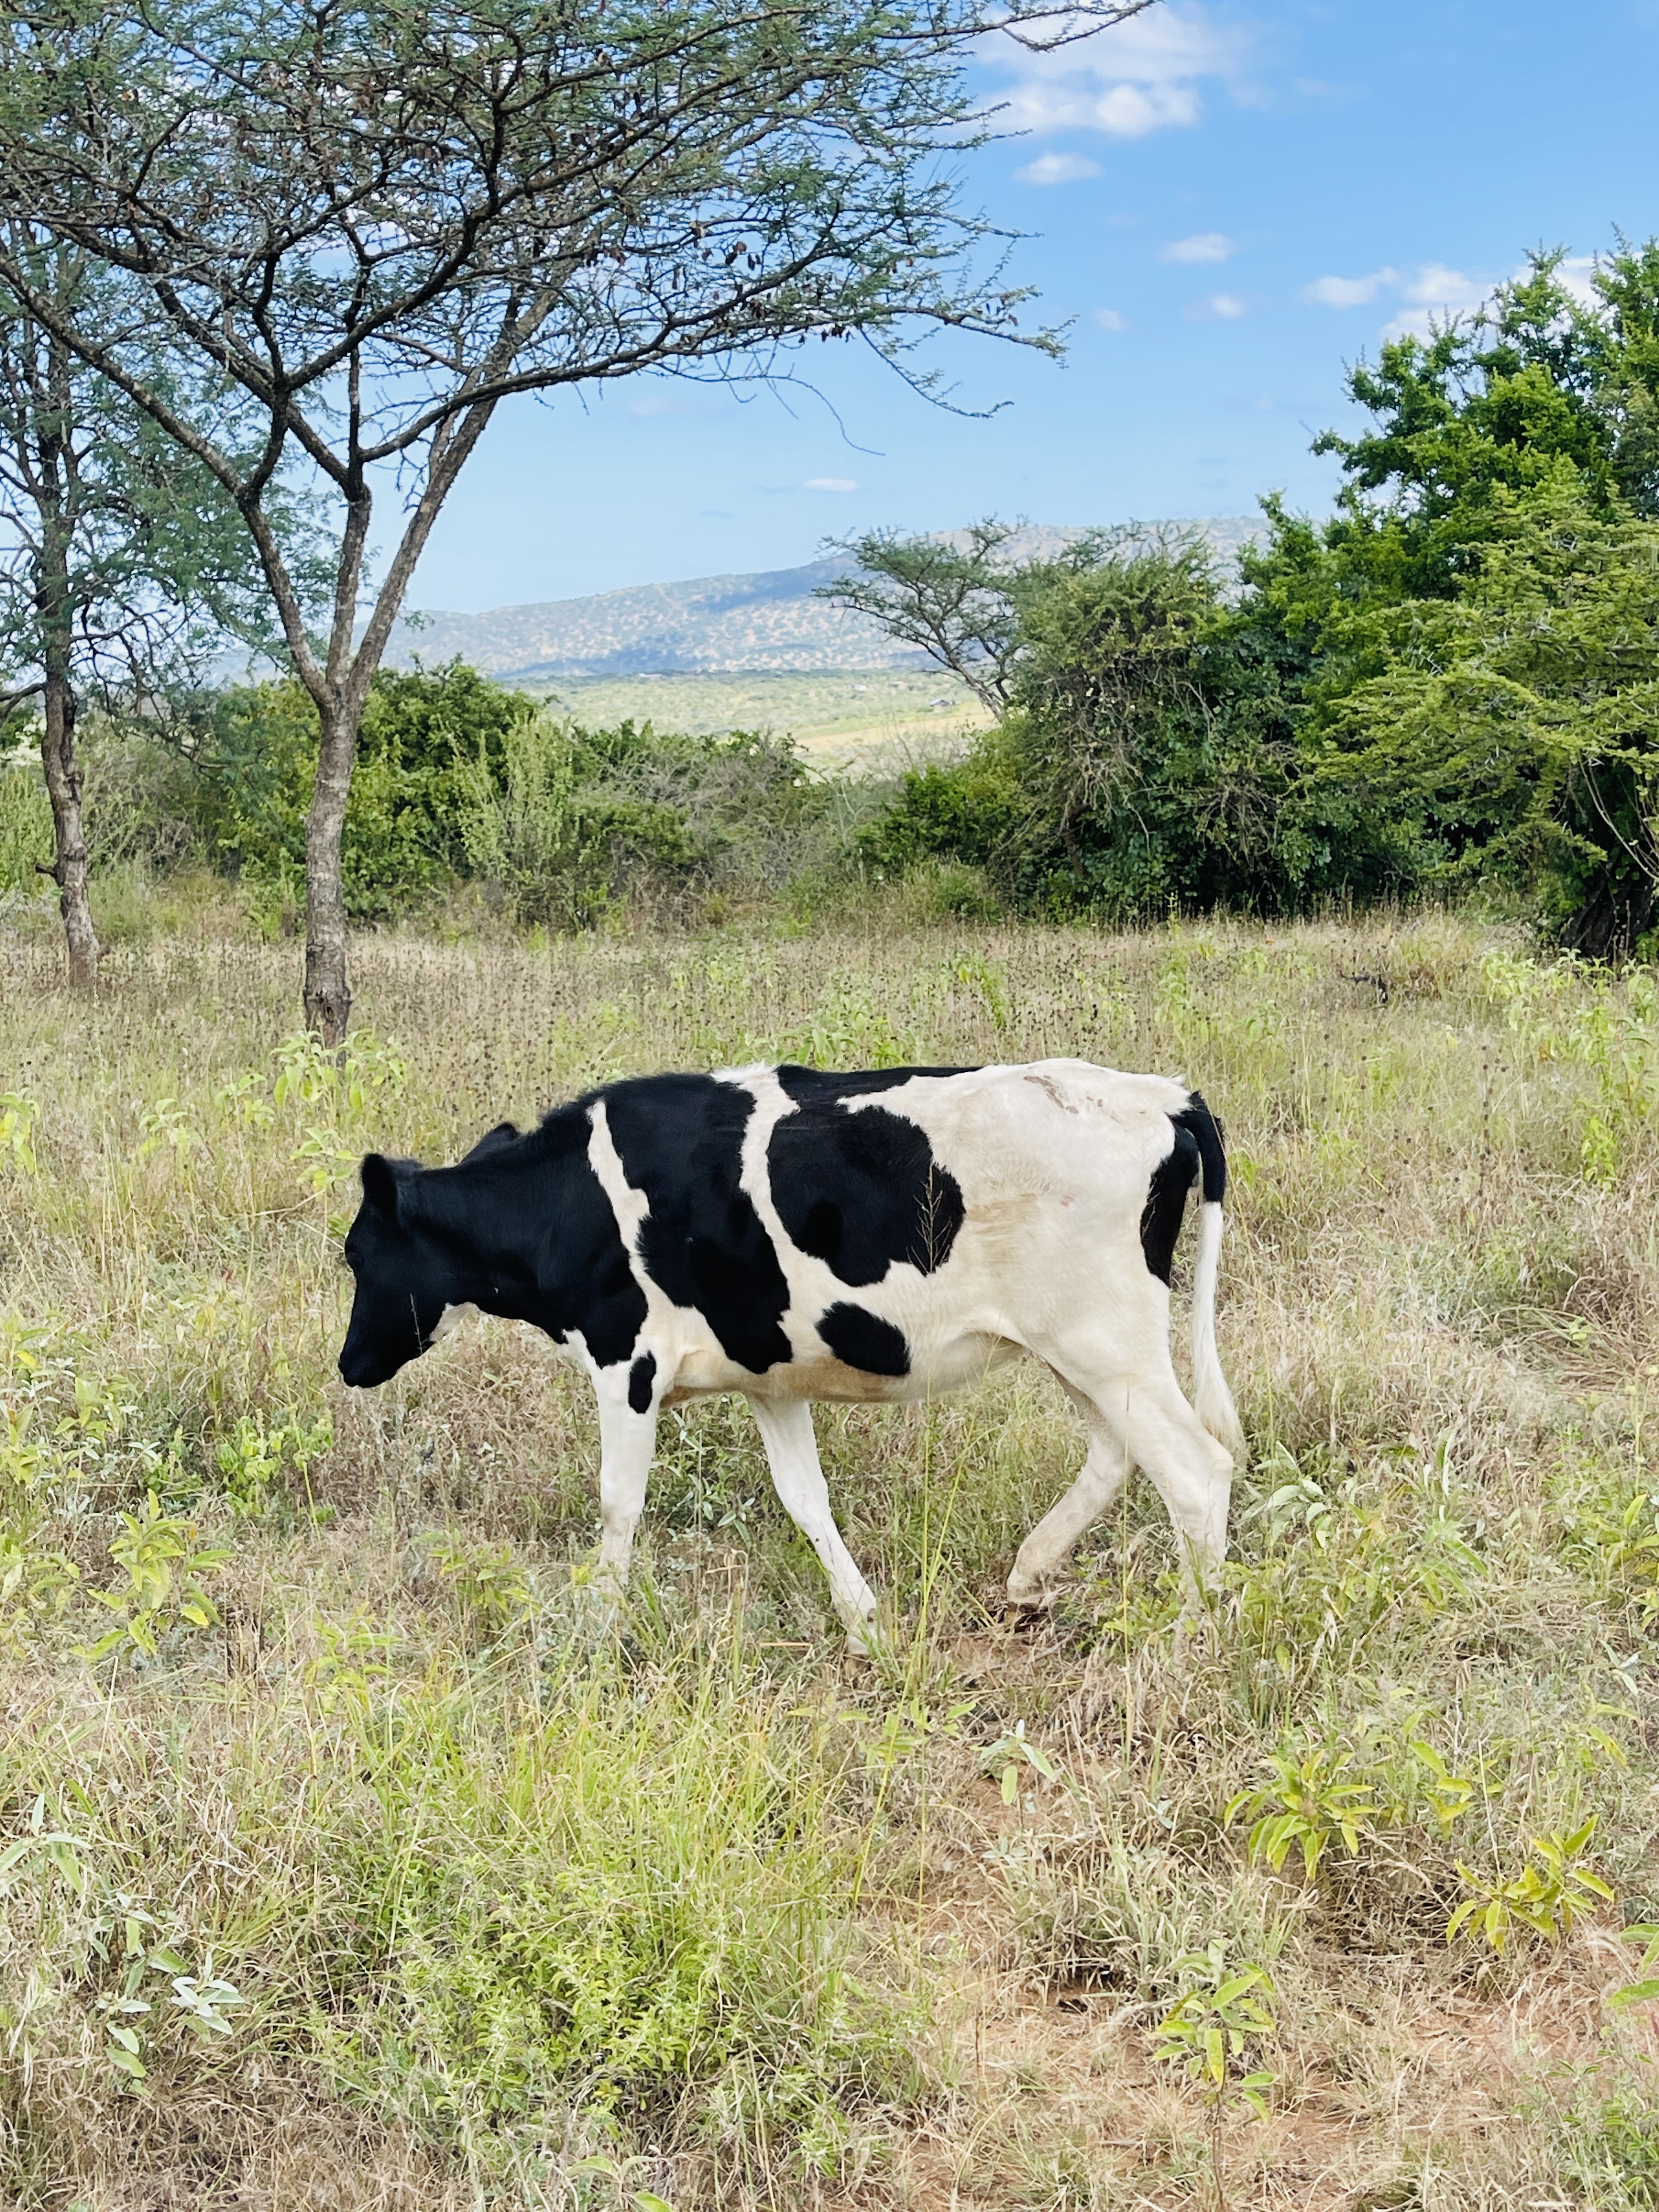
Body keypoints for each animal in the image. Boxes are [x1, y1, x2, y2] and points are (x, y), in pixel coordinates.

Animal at [337, 1060, 1244, 1650]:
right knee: (1118, 1454)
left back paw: (1185, 1640)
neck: (565, 1202)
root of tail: (1164, 1096)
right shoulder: (770, 1376)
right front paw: (865, 1623)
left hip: (1104, 1339)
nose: (347, 1366)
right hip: (1078, 1345)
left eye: (354, 1253)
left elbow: (618, 1503)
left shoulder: (626, 1362)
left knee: (1196, 1469)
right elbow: (806, 1499)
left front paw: (597, 1626)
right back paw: (1027, 1577)